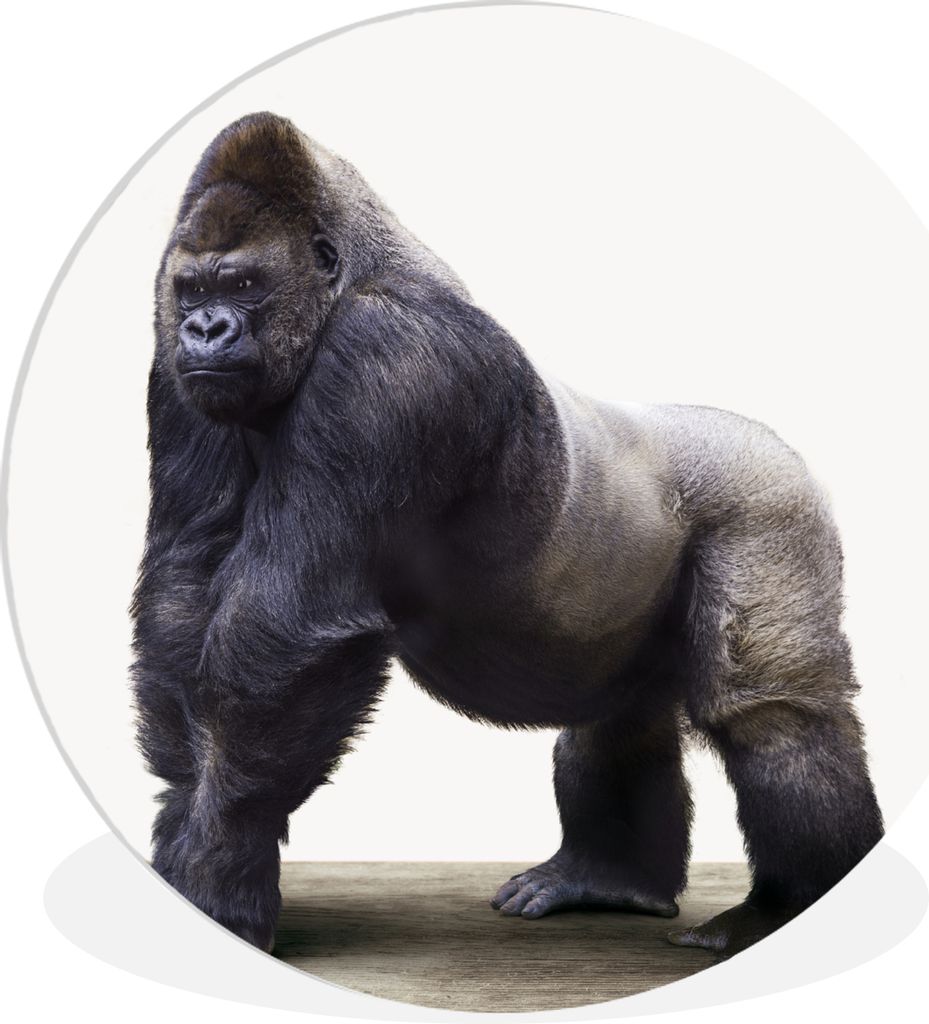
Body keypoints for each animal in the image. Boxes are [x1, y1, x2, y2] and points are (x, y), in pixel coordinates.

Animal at [131, 112, 884, 959]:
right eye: (192, 289)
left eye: (243, 285)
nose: (204, 328)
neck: (350, 274)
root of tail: (762, 438)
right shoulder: (174, 374)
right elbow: (183, 597)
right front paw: (187, 828)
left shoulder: (390, 356)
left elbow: (288, 630)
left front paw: (222, 862)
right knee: (620, 717)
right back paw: (611, 878)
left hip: (769, 500)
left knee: (770, 716)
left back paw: (785, 906)